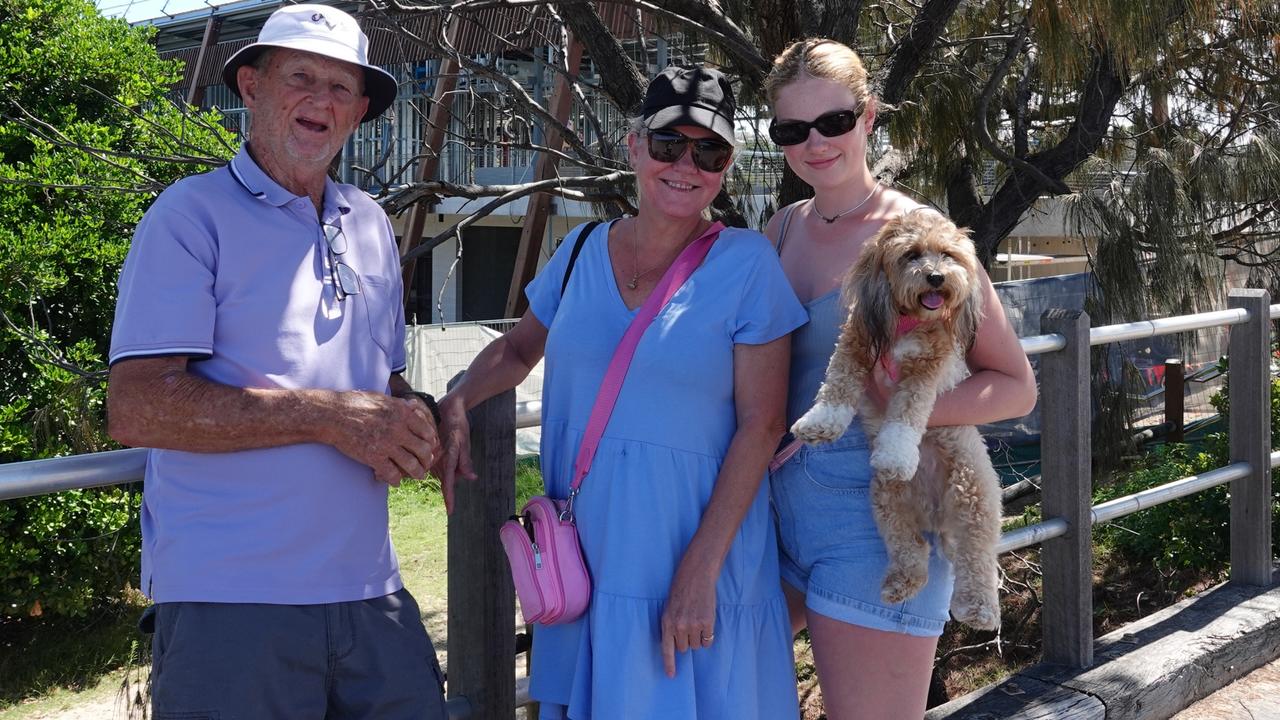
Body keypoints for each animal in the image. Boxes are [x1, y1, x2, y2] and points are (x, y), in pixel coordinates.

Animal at [793, 207, 1003, 627]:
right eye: (911, 255)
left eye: (948, 255)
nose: (936, 276)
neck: (909, 320)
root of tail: (937, 517)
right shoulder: (856, 343)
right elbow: (837, 383)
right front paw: (819, 423)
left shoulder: (924, 370)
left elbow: (907, 413)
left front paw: (896, 455)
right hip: (888, 504)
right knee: (913, 551)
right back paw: (900, 584)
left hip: (975, 497)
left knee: (978, 558)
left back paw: (979, 609)